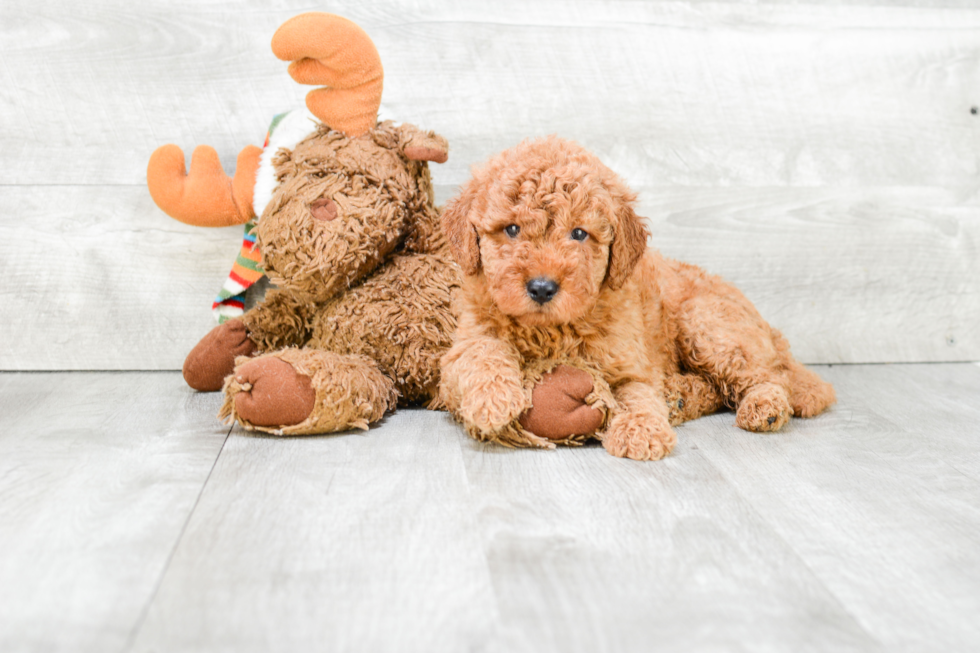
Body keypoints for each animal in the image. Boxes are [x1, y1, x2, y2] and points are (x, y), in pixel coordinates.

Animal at [442, 136, 836, 460]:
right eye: (511, 229)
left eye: (579, 234)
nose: (541, 287)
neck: (551, 329)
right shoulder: (462, 345)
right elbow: (481, 351)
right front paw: (492, 399)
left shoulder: (630, 362)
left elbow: (636, 393)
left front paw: (641, 430)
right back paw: (679, 398)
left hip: (708, 325)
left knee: (770, 376)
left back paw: (764, 407)